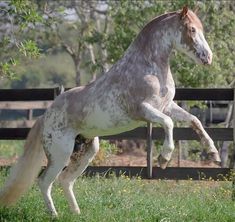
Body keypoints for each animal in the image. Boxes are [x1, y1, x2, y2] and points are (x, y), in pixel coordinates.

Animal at [0, 6, 220, 217]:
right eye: (192, 29)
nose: (208, 58)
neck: (149, 67)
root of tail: (45, 116)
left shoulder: (166, 107)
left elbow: (193, 120)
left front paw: (213, 153)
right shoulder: (142, 110)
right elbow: (169, 123)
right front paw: (164, 158)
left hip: (87, 151)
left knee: (65, 180)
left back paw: (77, 213)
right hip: (60, 153)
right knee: (45, 181)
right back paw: (54, 215)